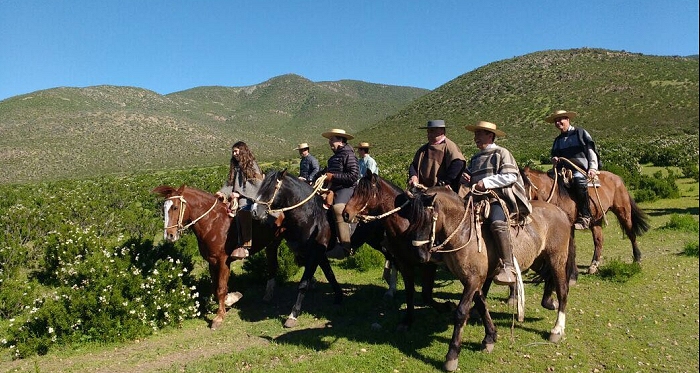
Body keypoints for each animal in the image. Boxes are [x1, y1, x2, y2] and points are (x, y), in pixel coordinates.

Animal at [153, 183, 284, 328]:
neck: (213, 223)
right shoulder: (212, 262)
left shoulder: (223, 262)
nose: (169, 236)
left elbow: (221, 288)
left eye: (175, 207)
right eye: (163, 208)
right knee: (272, 266)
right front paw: (231, 298)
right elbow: (216, 288)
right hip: (272, 244)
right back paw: (268, 295)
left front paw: (219, 317)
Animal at [344, 171, 454, 328]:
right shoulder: (404, 263)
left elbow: (426, 295)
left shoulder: (428, 265)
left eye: (364, 192)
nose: (346, 214)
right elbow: (410, 291)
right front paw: (408, 320)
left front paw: (447, 307)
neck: (407, 227)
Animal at [404, 187, 576, 370]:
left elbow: (461, 312)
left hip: (557, 259)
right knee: (548, 278)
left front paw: (452, 356)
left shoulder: (472, 280)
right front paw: (490, 337)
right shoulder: (474, 280)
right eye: (410, 219)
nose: (420, 255)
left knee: (563, 290)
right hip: (539, 260)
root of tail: (561, 212)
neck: (464, 232)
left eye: (427, 219)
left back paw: (557, 329)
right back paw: (549, 302)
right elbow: (482, 305)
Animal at [520, 166, 652, 274]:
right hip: (596, 220)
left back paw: (637, 259)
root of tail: (617, 178)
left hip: (623, 212)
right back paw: (593, 266)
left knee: (631, 234)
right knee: (599, 241)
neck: (556, 195)